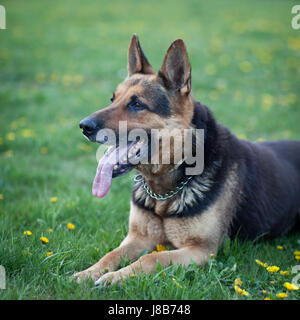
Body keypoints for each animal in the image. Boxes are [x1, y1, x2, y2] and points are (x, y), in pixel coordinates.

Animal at [74, 35, 300, 284]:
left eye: (137, 104)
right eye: (112, 99)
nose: (84, 126)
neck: (165, 189)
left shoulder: (200, 250)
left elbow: (150, 258)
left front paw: (114, 278)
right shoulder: (137, 238)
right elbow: (111, 254)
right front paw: (88, 273)